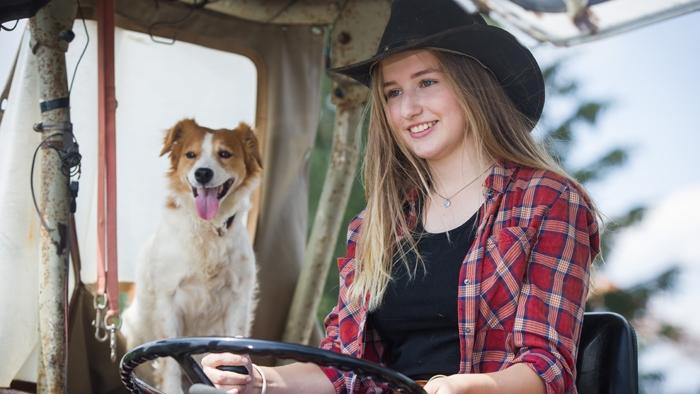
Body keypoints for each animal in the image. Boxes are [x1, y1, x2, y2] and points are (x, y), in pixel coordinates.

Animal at [120, 118, 262, 392]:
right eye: (190, 155)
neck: (207, 230)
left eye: (225, 154)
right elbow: (171, 365)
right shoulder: (169, 299)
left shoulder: (237, 300)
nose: (202, 173)